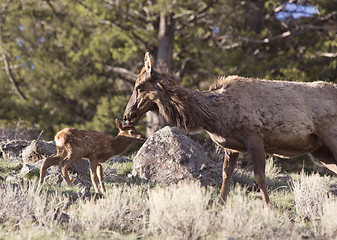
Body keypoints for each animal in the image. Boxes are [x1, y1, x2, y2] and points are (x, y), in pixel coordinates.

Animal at [122, 52, 336, 206]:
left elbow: (259, 176)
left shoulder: (254, 137)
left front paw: (268, 206)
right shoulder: (231, 147)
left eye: (139, 87)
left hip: (330, 137)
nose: (126, 116)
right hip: (320, 151)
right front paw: (220, 203)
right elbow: (226, 175)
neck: (215, 115)